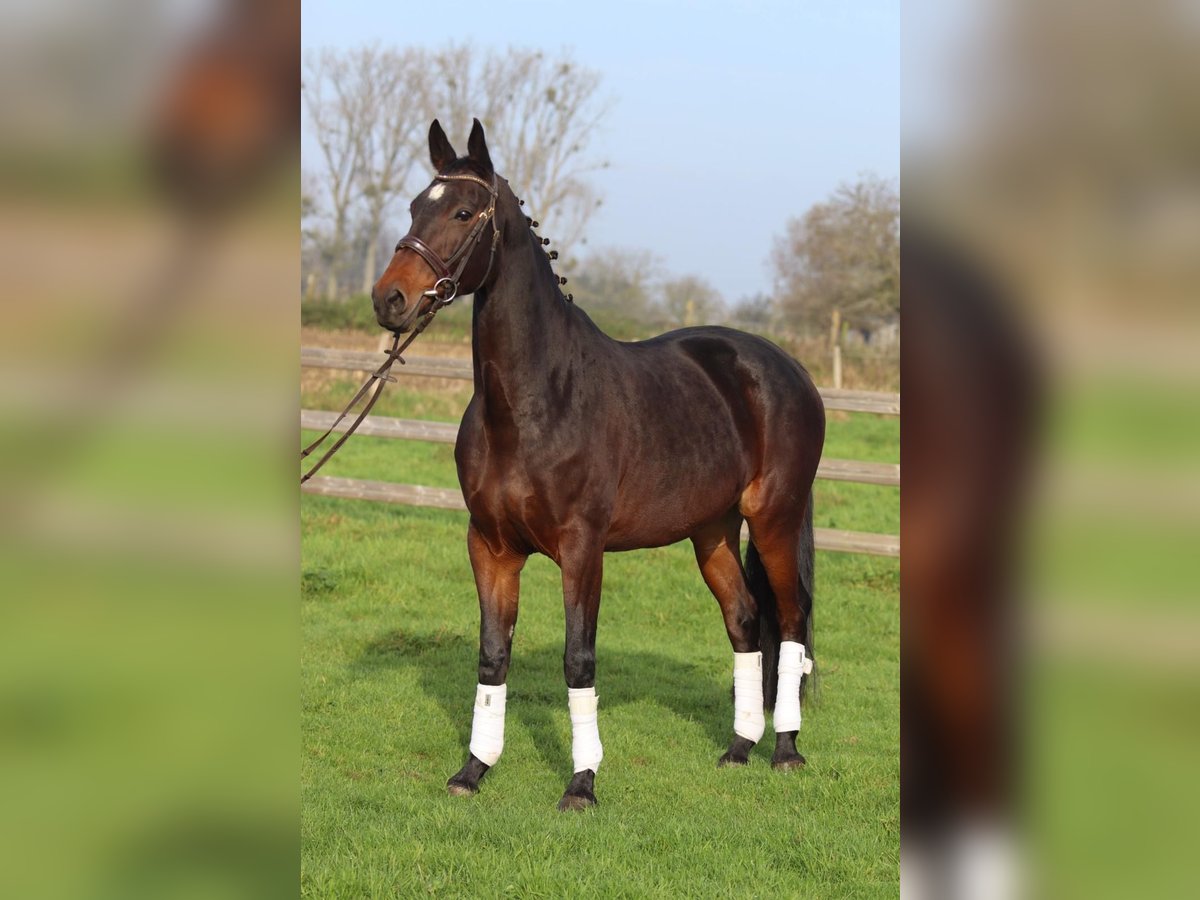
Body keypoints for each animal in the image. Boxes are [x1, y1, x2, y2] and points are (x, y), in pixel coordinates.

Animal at [372, 116, 825, 816]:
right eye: (416, 205)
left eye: (464, 211)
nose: (389, 298)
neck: (536, 401)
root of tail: (787, 367)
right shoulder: (491, 547)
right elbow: (492, 657)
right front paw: (473, 769)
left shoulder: (583, 550)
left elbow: (578, 659)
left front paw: (581, 783)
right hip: (713, 531)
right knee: (746, 620)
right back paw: (738, 747)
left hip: (775, 518)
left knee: (793, 619)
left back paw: (784, 750)